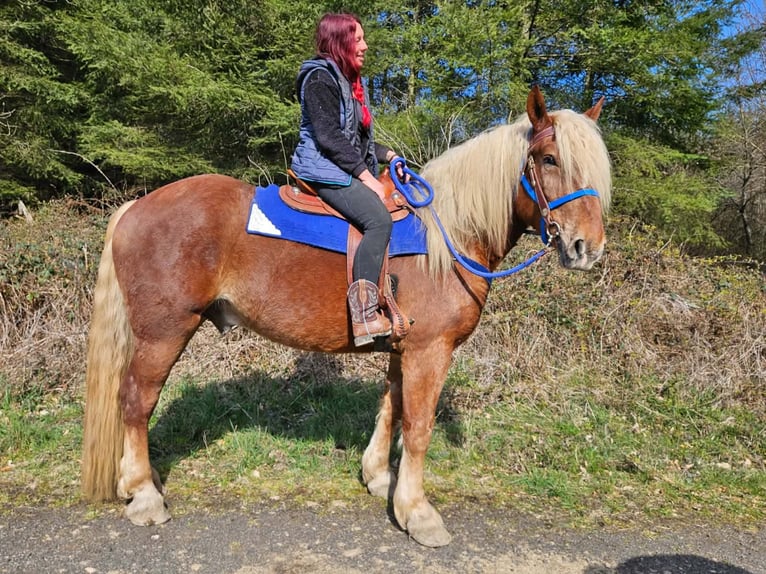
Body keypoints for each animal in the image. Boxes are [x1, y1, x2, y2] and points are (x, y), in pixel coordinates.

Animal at [81, 86, 611, 547]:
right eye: (549, 159)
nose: (586, 248)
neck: (447, 237)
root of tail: (136, 207)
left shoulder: (404, 347)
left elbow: (391, 407)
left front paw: (379, 478)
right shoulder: (431, 350)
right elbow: (418, 425)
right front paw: (418, 513)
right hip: (166, 331)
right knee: (136, 400)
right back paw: (144, 494)